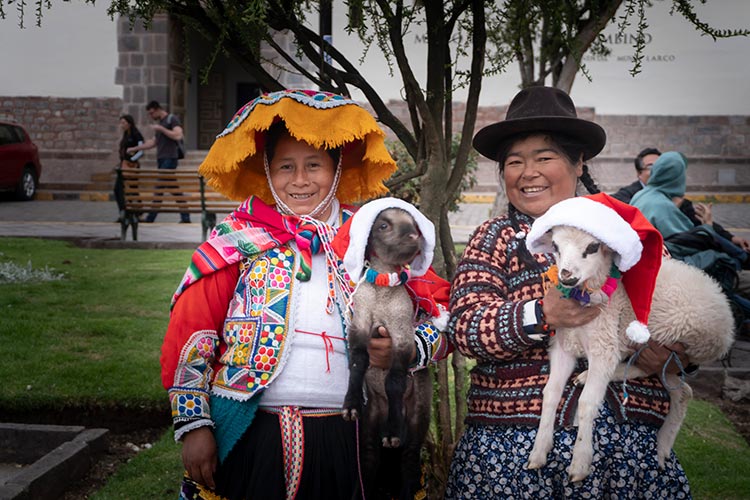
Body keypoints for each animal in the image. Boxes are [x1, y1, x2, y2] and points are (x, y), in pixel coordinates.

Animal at [524, 196, 736, 484]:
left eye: (593, 246)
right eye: (555, 246)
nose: (567, 276)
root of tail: (727, 325)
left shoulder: (603, 346)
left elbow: (587, 403)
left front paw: (580, 462)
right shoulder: (564, 346)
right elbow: (550, 394)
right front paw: (538, 451)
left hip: (675, 336)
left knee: (669, 382)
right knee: (681, 391)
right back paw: (661, 446)